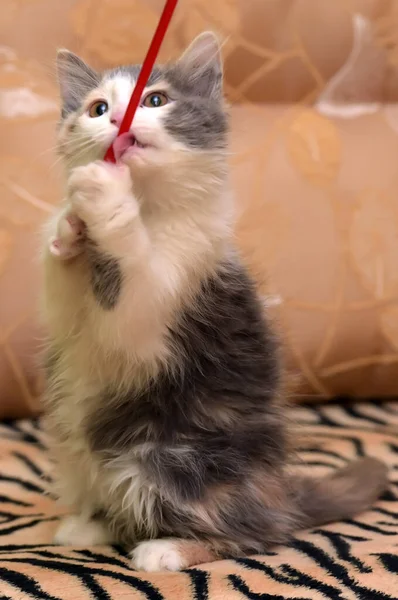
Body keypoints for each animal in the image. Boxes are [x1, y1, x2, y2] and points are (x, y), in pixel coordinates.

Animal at [41, 31, 388, 572]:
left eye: (155, 100)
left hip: (173, 457)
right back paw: (91, 524)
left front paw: (104, 199)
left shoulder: (167, 308)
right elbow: (61, 286)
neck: (151, 210)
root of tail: (276, 493)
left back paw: (170, 547)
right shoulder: (68, 316)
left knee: (252, 533)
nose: (116, 121)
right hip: (79, 453)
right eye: (97, 108)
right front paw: (69, 227)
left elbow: (132, 286)